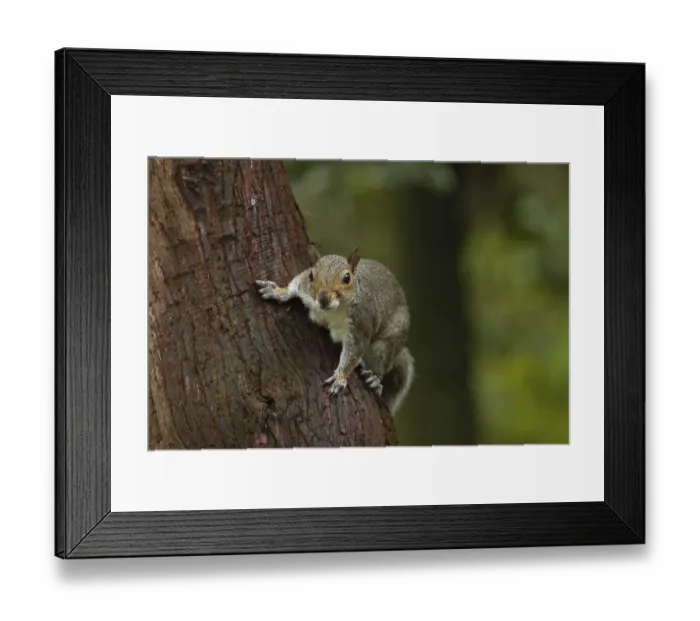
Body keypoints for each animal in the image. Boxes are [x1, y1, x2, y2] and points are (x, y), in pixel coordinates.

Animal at [255, 247, 415, 416]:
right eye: (311, 275)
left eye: (347, 278)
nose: (323, 298)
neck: (334, 309)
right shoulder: (305, 287)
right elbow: (297, 282)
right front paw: (279, 291)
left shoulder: (361, 322)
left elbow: (353, 352)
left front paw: (340, 377)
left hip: (385, 346)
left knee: (382, 363)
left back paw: (375, 379)